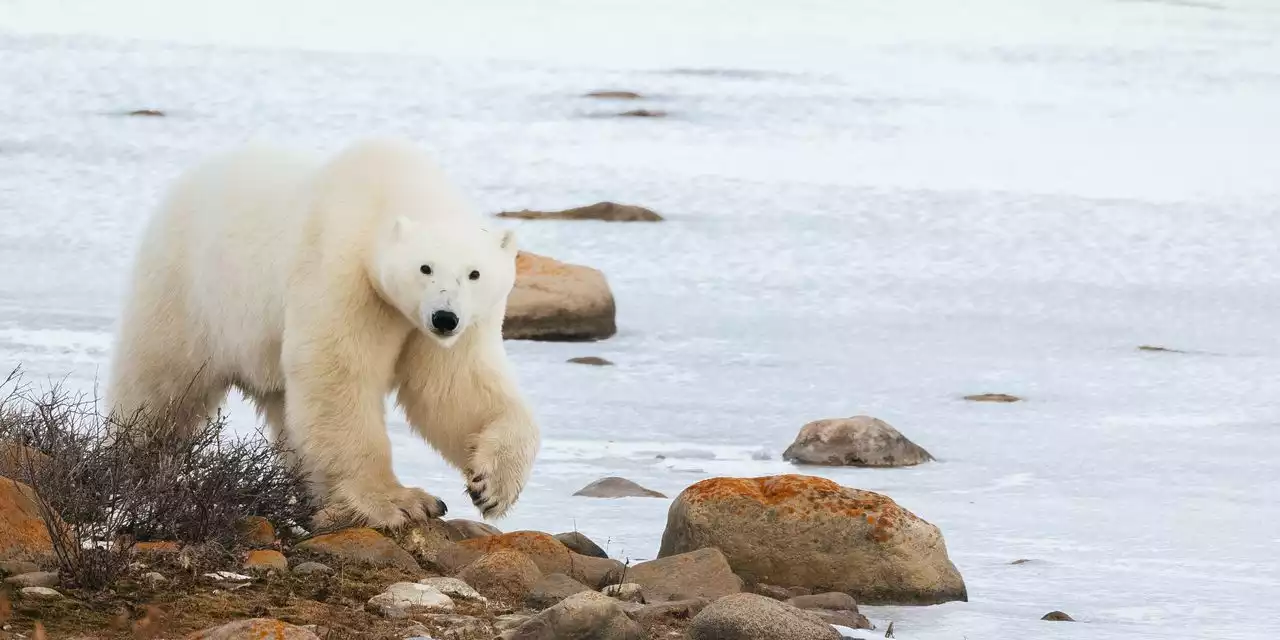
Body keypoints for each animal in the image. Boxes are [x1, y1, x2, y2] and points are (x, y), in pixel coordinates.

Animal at [102, 136, 537, 524]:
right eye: (424, 267)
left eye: (474, 273)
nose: (444, 318)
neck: (389, 190)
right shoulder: (343, 272)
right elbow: (337, 373)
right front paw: (400, 502)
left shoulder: (455, 323)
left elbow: (454, 388)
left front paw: (492, 485)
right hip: (188, 292)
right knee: (159, 385)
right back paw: (131, 464)